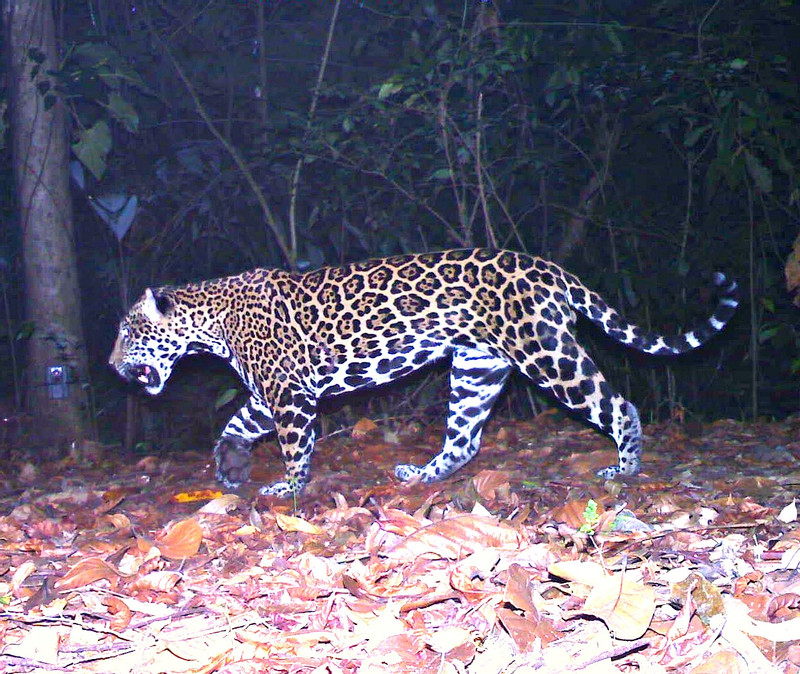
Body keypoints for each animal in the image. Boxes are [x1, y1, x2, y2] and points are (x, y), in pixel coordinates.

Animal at [109, 249, 738, 497]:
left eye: (127, 332)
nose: (112, 366)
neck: (209, 321)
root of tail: (551, 268)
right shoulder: (273, 393)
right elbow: (234, 425)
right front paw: (230, 466)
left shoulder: (289, 396)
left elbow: (292, 448)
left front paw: (288, 488)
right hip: (478, 368)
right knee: (465, 440)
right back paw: (421, 476)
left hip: (545, 352)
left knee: (618, 405)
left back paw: (625, 468)